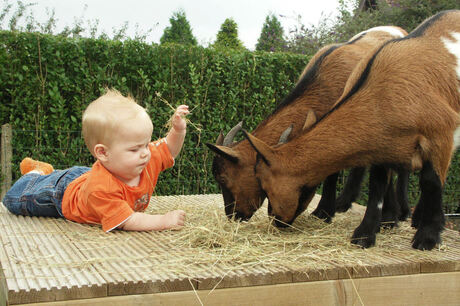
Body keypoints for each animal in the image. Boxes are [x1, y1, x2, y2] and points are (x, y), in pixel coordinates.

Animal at [207, 25, 408, 222]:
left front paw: (323, 212)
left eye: (223, 178)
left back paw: (398, 213)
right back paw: (346, 203)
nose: (233, 215)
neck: (326, 85)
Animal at [244, 10, 460, 251]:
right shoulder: (384, 145)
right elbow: (377, 187)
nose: (276, 220)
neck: (381, 95)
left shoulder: (440, 133)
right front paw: (366, 234)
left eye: (262, 181)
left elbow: (431, 182)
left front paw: (427, 237)